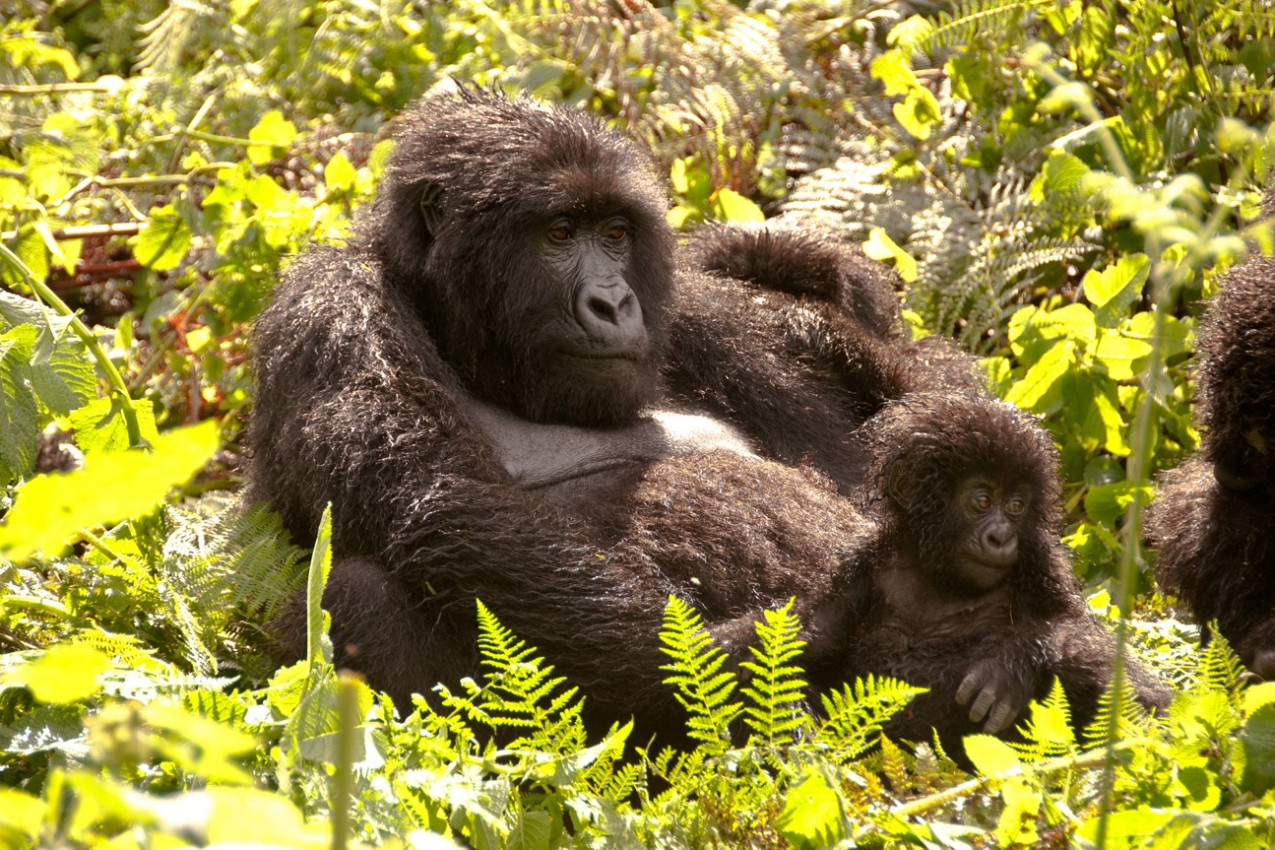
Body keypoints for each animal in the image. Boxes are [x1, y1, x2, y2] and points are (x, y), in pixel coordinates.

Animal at [246, 89, 948, 734]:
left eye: (615, 235)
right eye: (559, 233)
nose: (613, 303)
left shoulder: (701, 313)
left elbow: (868, 458)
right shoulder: (332, 308)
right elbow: (447, 512)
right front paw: (756, 648)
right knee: (355, 593)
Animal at [810, 395, 1167, 749]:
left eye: (1015, 506)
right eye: (982, 501)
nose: (1001, 537)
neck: (935, 572)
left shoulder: (1041, 561)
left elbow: (1074, 629)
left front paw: (1010, 665)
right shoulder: (857, 569)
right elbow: (808, 653)